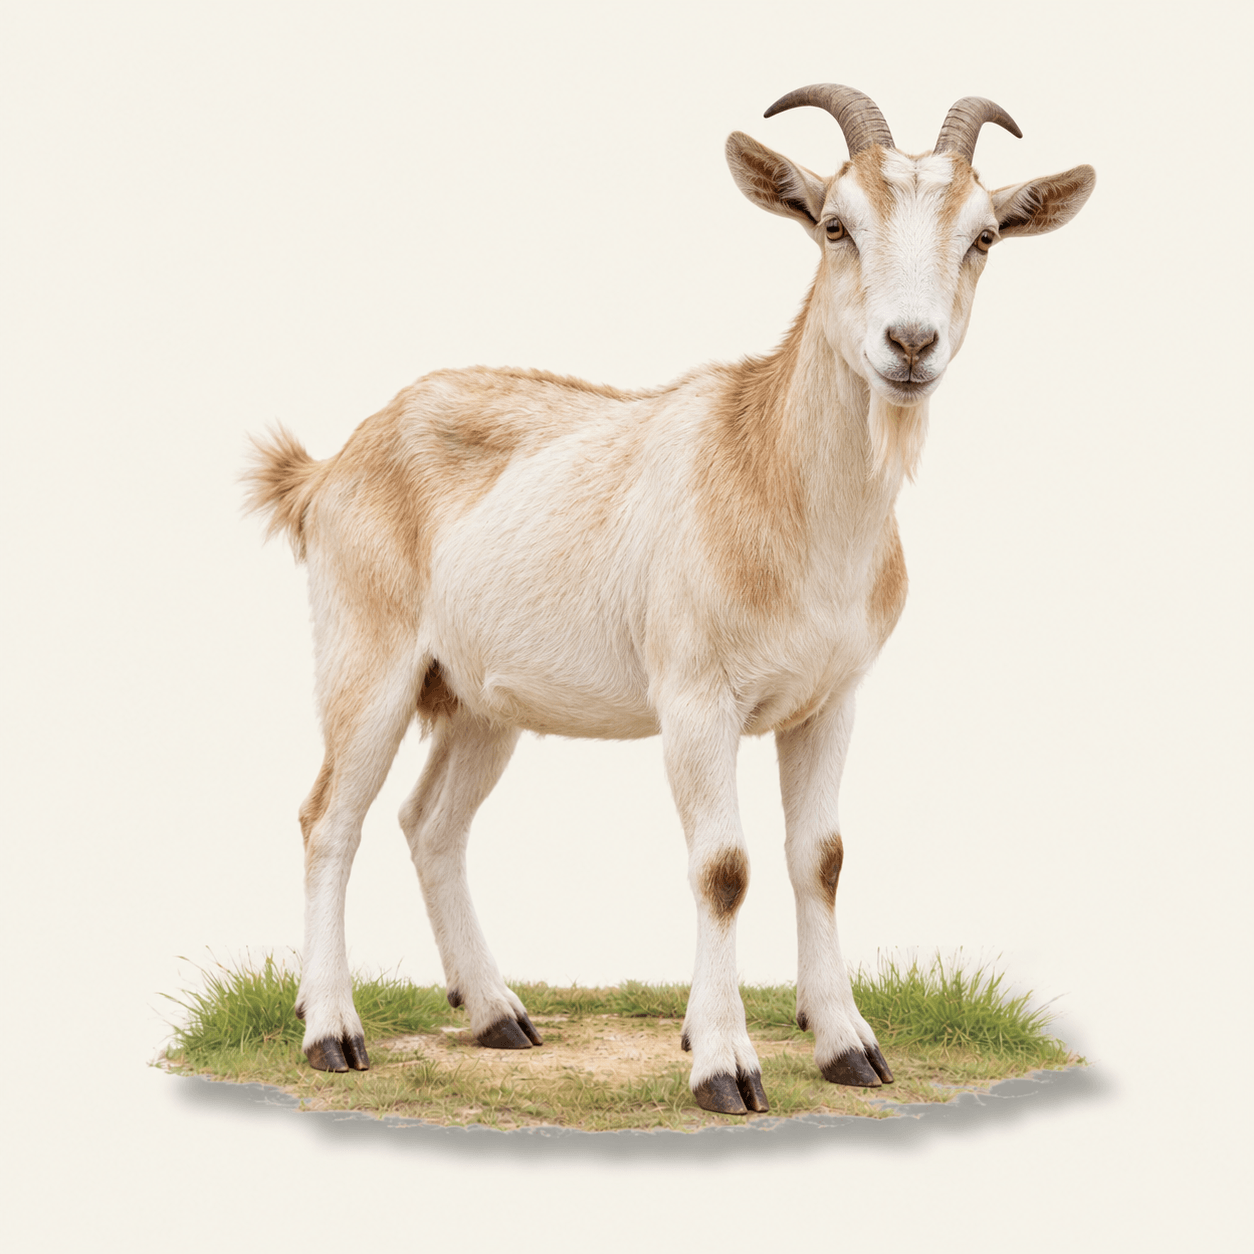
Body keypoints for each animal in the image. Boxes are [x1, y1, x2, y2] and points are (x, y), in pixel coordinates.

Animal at [246, 84, 1094, 1115]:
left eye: (983, 237)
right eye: (835, 225)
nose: (910, 343)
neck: (772, 480)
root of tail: (329, 466)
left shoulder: (832, 699)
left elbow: (821, 858)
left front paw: (847, 1046)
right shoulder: (696, 696)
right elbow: (722, 868)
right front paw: (725, 1065)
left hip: (484, 700)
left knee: (431, 824)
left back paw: (497, 1015)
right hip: (367, 657)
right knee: (330, 819)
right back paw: (332, 1032)